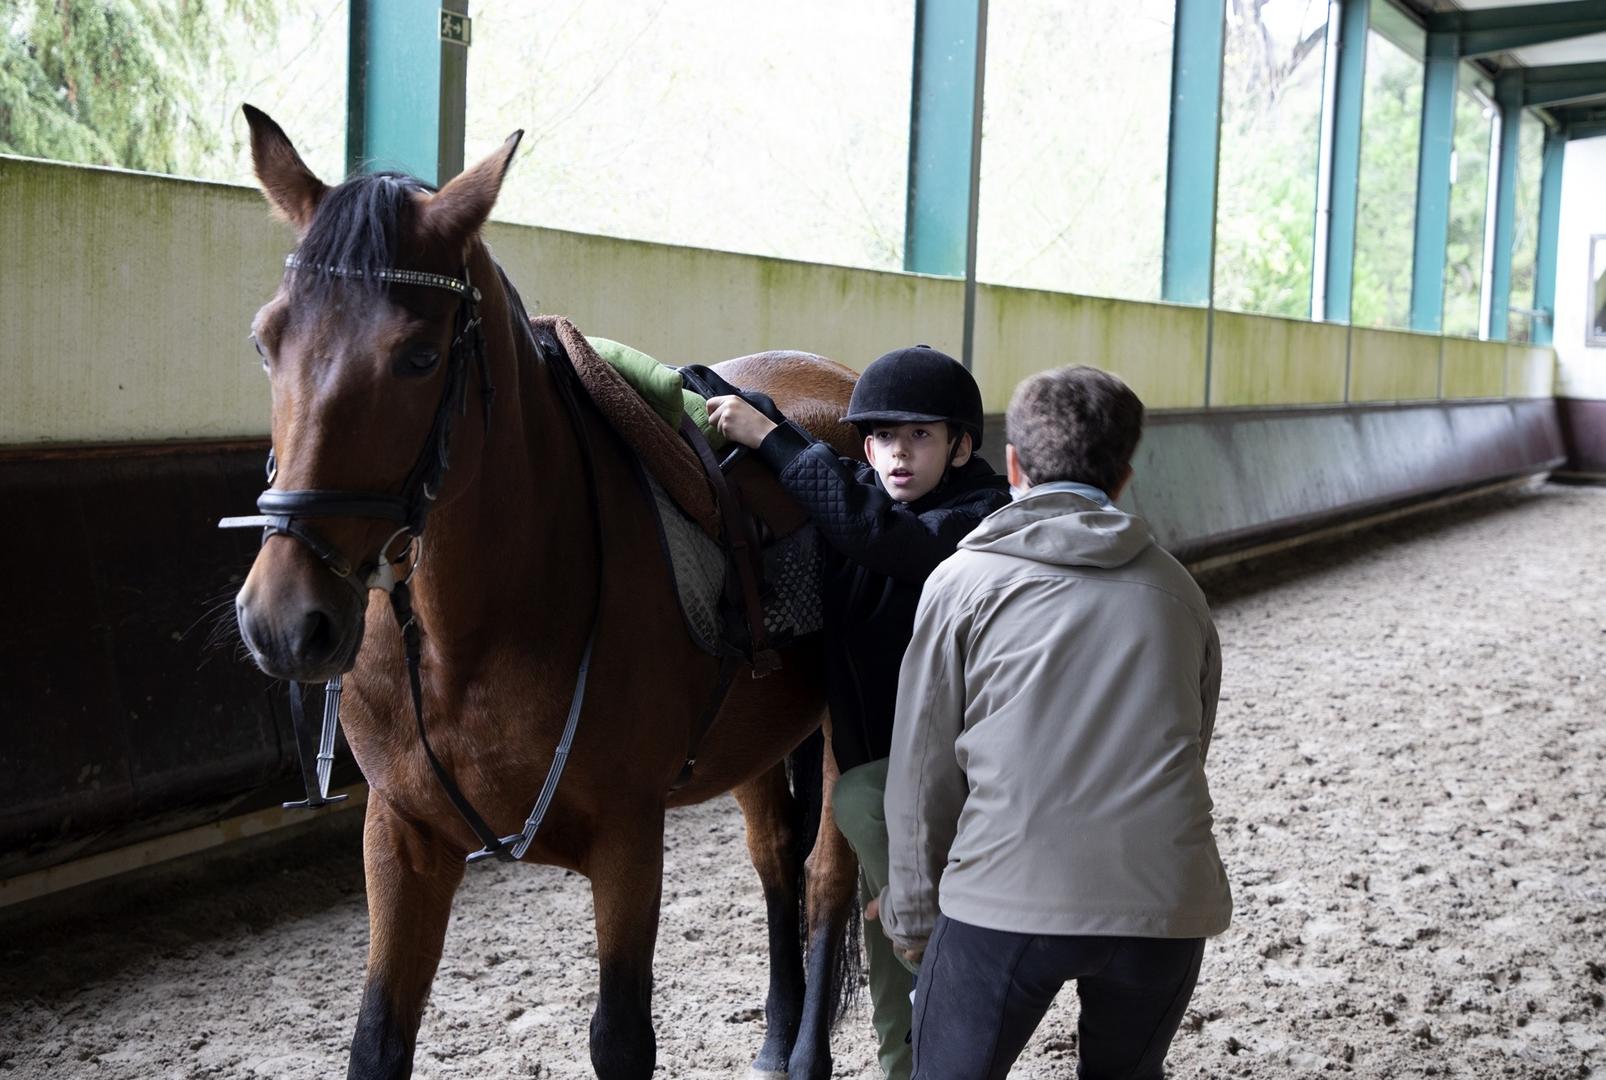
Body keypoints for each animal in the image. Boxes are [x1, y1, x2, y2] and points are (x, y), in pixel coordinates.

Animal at [231, 103, 860, 1080]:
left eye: (419, 356)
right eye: (267, 341)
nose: (284, 620)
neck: (471, 633)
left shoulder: (629, 840)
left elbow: (621, 1036)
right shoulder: (400, 838)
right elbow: (377, 1040)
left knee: (828, 878)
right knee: (776, 857)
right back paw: (776, 1029)